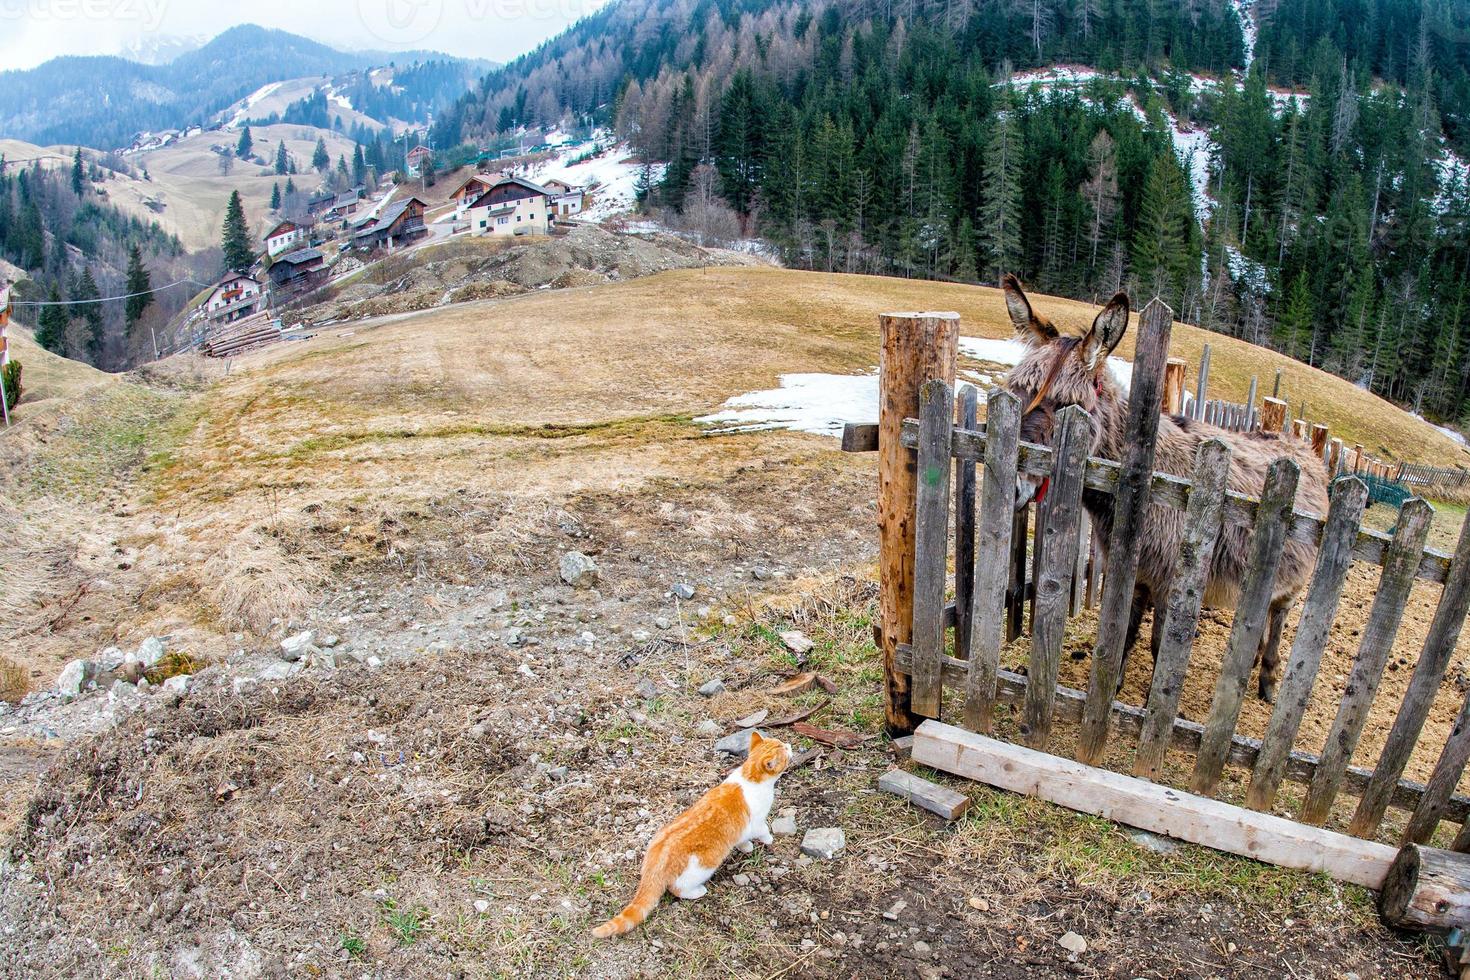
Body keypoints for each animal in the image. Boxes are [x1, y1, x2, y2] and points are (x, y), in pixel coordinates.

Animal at [590, 731, 793, 940]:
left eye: (781, 743)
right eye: (784, 750)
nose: (789, 744)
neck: (750, 775)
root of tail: (656, 861)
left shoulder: (743, 830)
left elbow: (743, 841)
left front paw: (746, 847)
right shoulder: (758, 823)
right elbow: (764, 831)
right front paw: (768, 840)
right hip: (701, 868)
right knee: (678, 889)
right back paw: (698, 891)